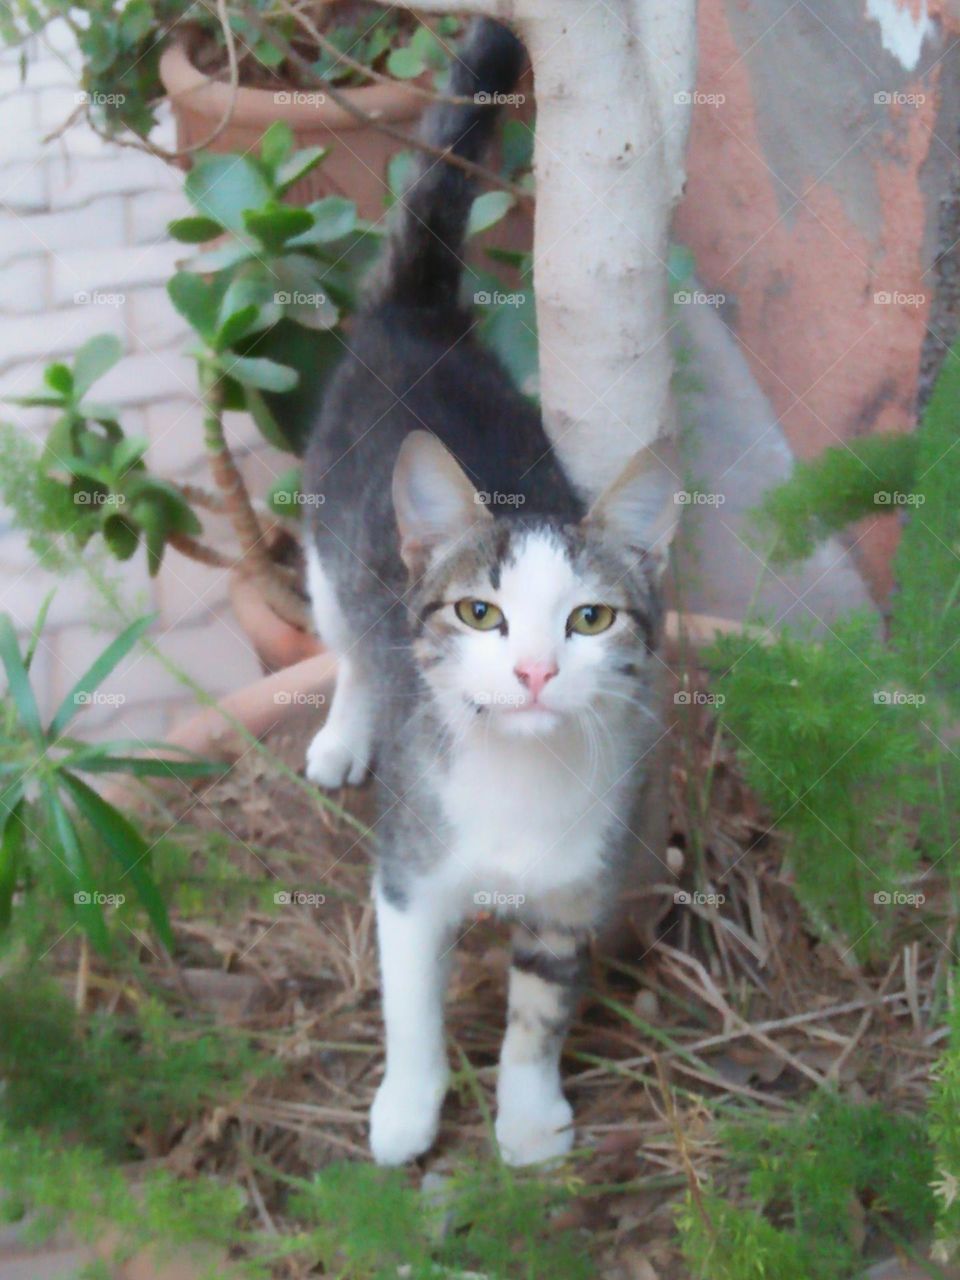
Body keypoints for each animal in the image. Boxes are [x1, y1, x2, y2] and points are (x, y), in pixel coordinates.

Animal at [304, 17, 680, 1172]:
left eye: (590, 618)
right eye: (481, 612)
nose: (533, 670)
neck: (520, 781)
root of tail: (422, 317)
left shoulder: (573, 893)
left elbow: (539, 1012)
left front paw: (525, 1113)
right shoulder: (410, 876)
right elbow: (412, 1003)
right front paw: (407, 1106)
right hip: (328, 542)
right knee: (349, 638)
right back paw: (345, 729)